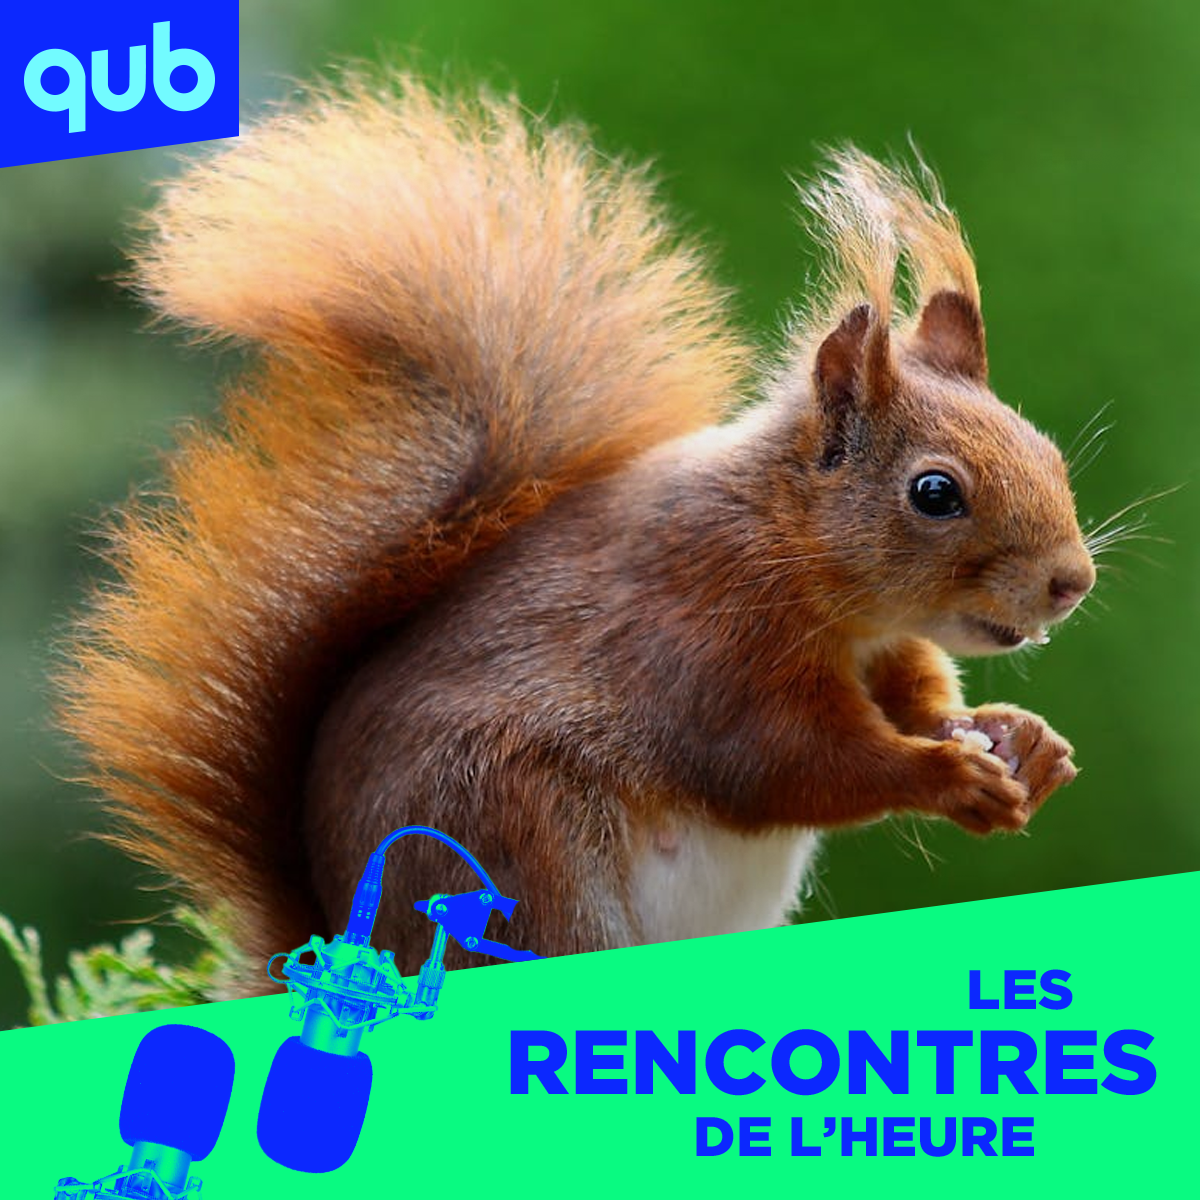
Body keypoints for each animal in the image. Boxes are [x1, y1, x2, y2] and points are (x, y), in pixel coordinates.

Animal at [59, 75, 1095, 990]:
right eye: (935, 492)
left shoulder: (884, 648)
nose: (1071, 581)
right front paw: (946, 775)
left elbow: (918, 697)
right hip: (522, 852)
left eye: (1045, 448)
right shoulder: (706, 643)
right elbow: (790, 765)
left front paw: (1021, 739)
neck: (799, 556)